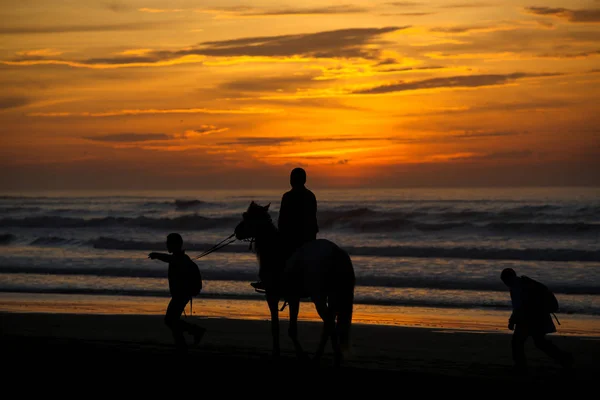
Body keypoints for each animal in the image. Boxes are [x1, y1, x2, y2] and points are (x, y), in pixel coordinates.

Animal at [234, 202, 356, 368]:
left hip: (319, 295)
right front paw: (299, 355)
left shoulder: (272, 295)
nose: (236, 231)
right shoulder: (293, 297)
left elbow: (277, 327)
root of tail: (337, 253)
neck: (274, 250)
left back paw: (334, 357)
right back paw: (318, 357)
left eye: (246, 217)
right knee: (328, 324)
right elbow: (291, 328)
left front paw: (282, 354)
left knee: (329, 323)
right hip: (333, 295)